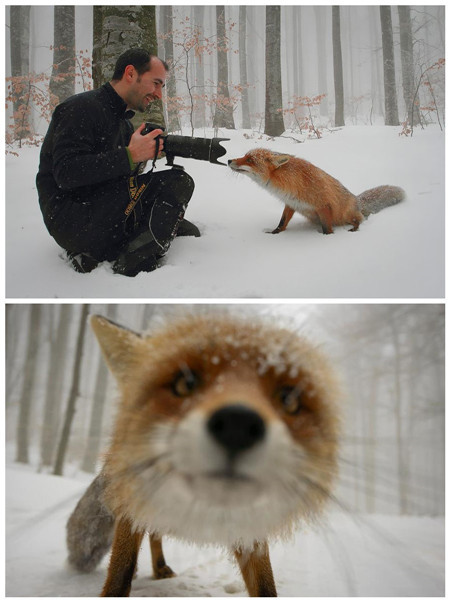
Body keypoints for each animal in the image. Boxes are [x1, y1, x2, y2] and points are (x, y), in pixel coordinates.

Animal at [67, 312, 342, 592]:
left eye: (288, 399)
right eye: (184, 384)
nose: (237, 426)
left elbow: (265, 585)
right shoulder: (130, 504)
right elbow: (120, 571)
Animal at [227, 148, 406, 234]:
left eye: (250, 160)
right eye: (244, 156)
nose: (228, 160)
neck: (290, 182)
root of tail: (357, 200)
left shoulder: (323, 205)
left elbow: (327, 229)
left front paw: (326, 239)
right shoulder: (291, 203)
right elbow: (282, 222)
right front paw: (274, 233)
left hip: (347, 214)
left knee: (359, 220)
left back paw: (354, 229)